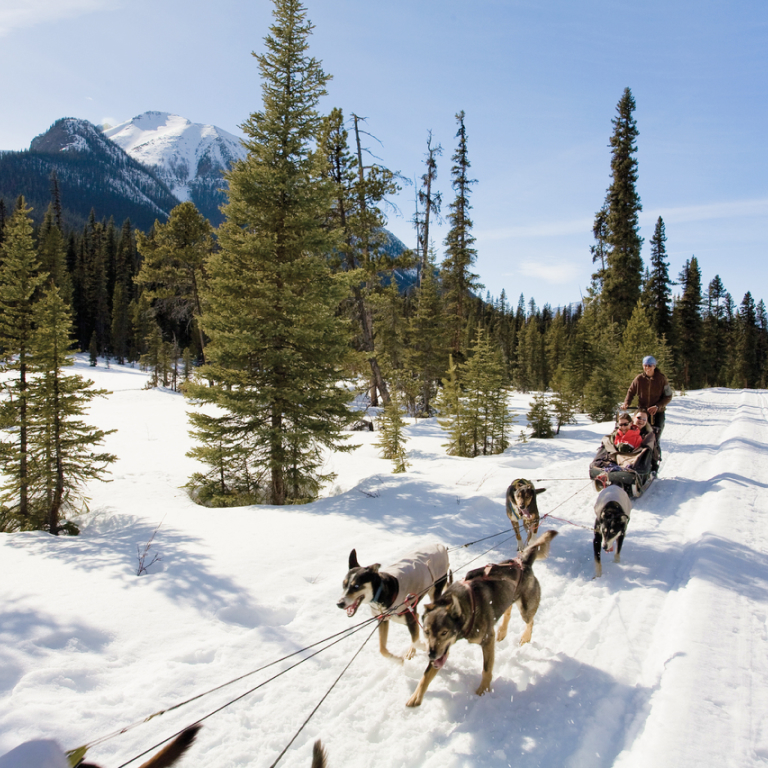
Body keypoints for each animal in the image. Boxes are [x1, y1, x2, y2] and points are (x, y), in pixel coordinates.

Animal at [402, 532, 560, 704]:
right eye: (426, 632)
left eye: (444, 632)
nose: (430, 654)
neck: (467, 607)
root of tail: (522, 563)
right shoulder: (442, 650)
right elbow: (426, 675)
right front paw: (416, 697)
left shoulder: (486, 640)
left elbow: (486, 669)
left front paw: (483, 691)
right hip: (508, 597)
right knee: (508, 611)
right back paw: (502, 631)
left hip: (526, 609)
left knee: (530, 621)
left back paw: (525, 637)